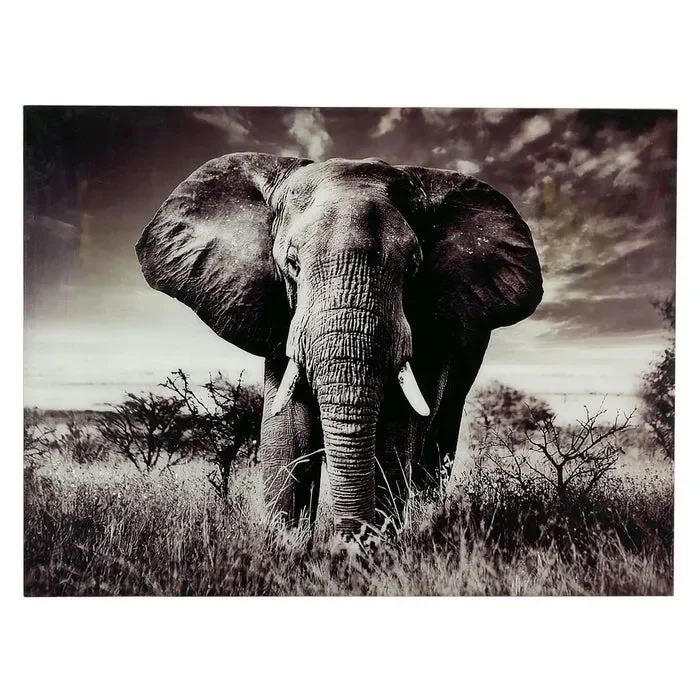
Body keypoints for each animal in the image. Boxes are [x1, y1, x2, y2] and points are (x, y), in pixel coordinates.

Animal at [136, 153, 543, 541]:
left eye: (413, 266)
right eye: (292, 263)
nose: (346, 543)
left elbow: (396, 431)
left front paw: (376, 550)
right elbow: (288, 430)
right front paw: (288, 549)